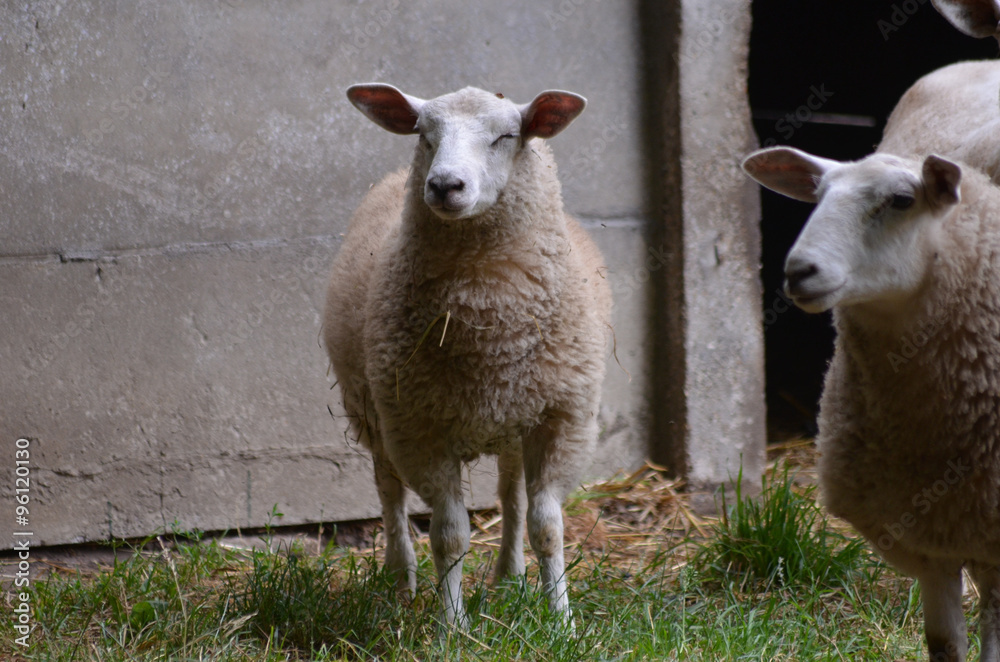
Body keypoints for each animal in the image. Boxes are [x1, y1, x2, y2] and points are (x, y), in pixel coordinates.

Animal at [323, 83, 611, 627]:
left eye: (506, 136)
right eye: (424, 135)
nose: (443, 185)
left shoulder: (563, 419)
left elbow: (547, 525)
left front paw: (562, 621)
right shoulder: (418, 427)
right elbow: (449, 534)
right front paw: (452, 625)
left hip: (513, 416)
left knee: (511, 497)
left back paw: (509, 575)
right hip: (371, 408)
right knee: (388, 489)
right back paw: (402, 578)